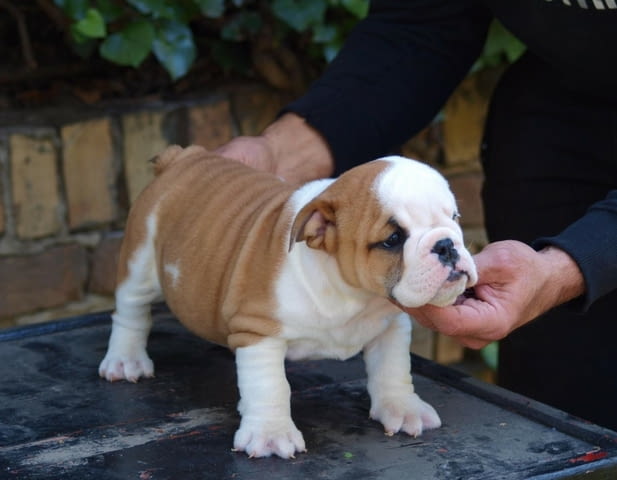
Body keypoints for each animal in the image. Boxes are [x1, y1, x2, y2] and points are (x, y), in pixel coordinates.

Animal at [100, 145, 476, 458]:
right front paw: (270, 434)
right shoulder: (258, 333)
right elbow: (270, 386)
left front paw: (403, 408)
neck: (353, 292)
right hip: (140, 262)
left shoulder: (390, 325)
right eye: (393, 239)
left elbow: (393, 370)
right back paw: (125, 360)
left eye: (454, 218)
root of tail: (182, 158)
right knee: (130, 312)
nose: (446, 245)